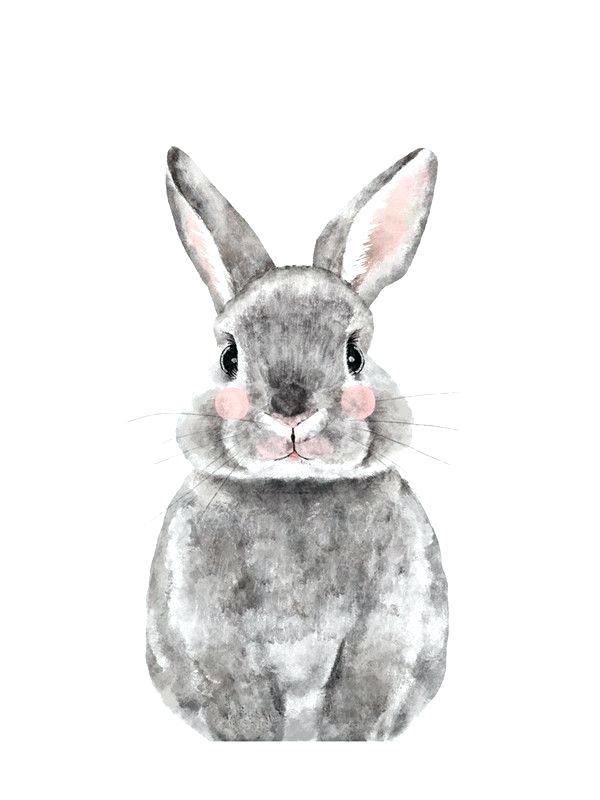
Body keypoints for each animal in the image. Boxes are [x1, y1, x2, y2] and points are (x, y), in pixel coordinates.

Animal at [146, 145, 448, 741]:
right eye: (229, 357)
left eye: (354, 355)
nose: (291, 412)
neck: (295, 487)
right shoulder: (209, 640)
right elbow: (241, 705)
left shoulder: (392, 632)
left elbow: (358, 704)